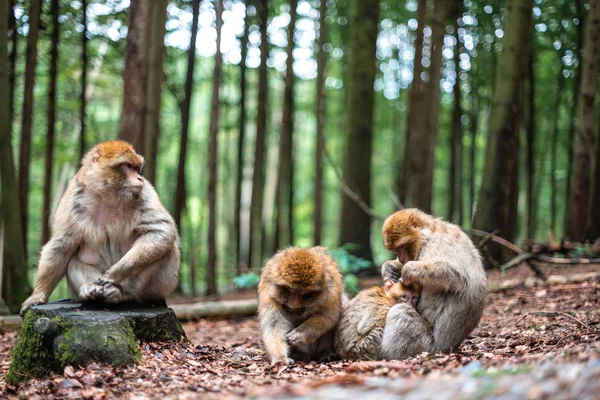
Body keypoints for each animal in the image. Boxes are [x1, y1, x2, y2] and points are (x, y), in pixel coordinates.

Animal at [21, 141, 180, 316]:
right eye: (128, 166)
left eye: (137, 168)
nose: (139, 178)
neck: (106, 195)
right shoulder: (73, 198)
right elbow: (62, 244)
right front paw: (37, 295)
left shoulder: (145, 193)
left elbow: (160, 231)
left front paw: (114, 273)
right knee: (72, 262)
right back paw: (90, 289)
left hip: (160, 286)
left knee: (165, 252)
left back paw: (120, 292)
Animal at [380, 209, 488, 360]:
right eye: (395, 250)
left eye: (401, 246)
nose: (401, 258)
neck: (429, 235)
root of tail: (450, 347)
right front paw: (389, 268)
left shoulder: (438, 243)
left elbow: (458, 276)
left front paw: (407, 270)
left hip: (426, 345)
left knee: (400, 311)